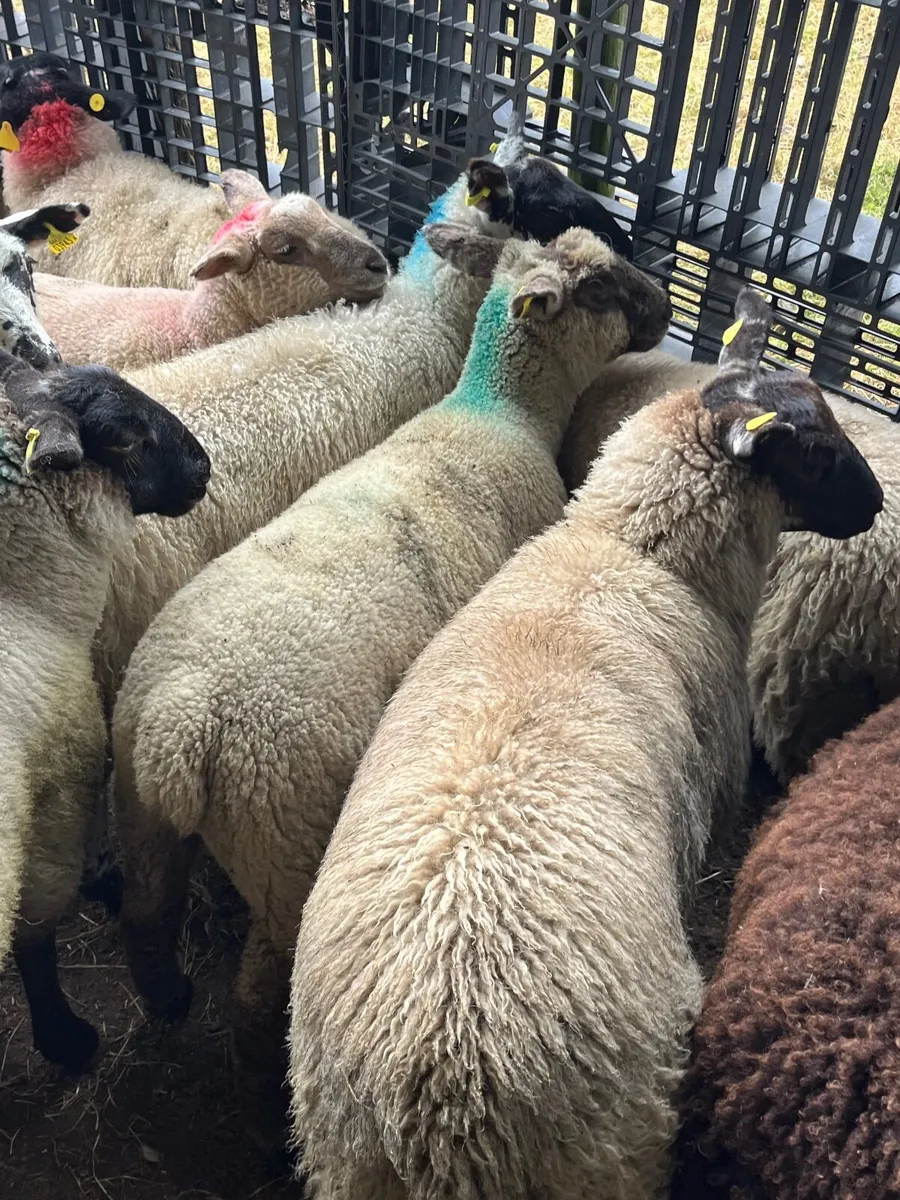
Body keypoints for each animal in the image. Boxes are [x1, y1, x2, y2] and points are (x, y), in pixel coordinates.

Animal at [0, 348, 210, 1074]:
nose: (205, 466)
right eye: (122, 436)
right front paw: (63, 1038)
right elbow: (35, 935)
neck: (25, 600)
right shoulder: (55, 801)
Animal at [112, 228, 671, 1101]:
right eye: (602, 290)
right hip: (284, 833)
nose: (669, 306)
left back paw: (168, 1001)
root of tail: (183, 721)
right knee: (260, 982)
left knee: (145, 917)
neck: (498, 410)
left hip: (141, 815)